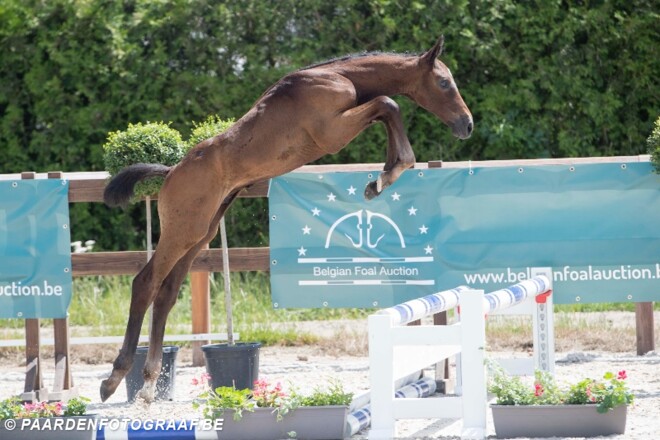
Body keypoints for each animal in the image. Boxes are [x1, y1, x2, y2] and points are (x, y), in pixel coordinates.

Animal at [100, 35, 473, 403]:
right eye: (444, 82)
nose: (466, 125)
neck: (338, 77)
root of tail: (170, 173)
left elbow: (385, 110)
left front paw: (381, 177)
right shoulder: (333, 131)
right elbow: (388, 104)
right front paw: (387, 174)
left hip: (201, 235)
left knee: (166, 294)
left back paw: (149, 384)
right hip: (183, 231)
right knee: (145, 283)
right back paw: (115, 378)